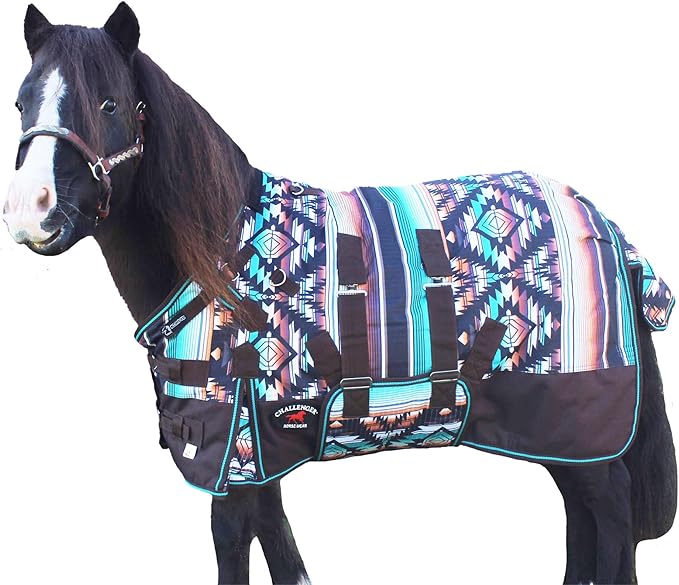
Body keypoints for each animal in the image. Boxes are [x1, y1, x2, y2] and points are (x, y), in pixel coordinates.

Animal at [4, 4, 676, 584]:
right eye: (21, 102)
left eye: (109, 104)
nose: (32, 211)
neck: (218, 258)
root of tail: (600, 220)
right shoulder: (258, 454)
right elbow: (281, 546)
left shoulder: (230, 457)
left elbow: (234, 546)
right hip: (559, 435)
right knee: (581, 519)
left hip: (580, 421)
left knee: (610, 513)